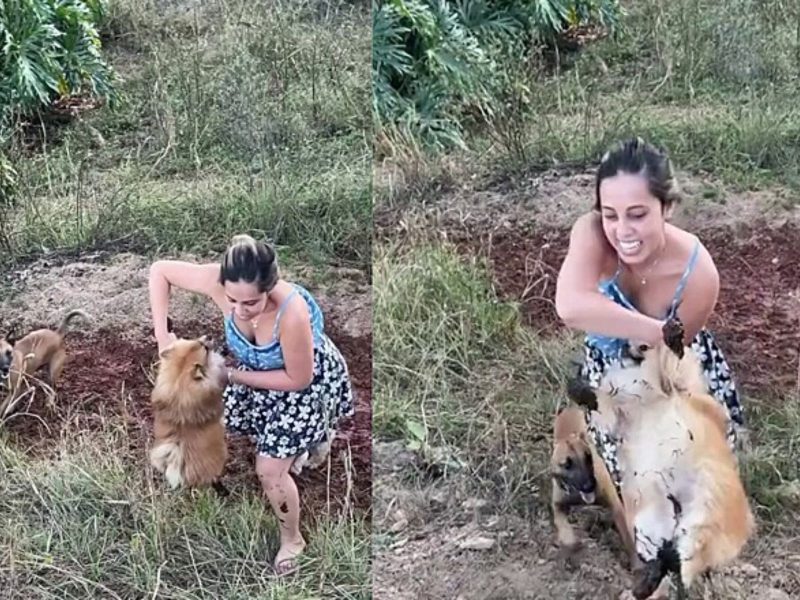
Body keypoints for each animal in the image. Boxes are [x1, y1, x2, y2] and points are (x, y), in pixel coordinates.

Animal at [552, 406, 636, 564]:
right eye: (567, 465)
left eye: (588, 457)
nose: (589, 486)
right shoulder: (557, 504)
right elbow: (562, 525)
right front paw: (570, 542)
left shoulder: (616, 507)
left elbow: (628, 537)